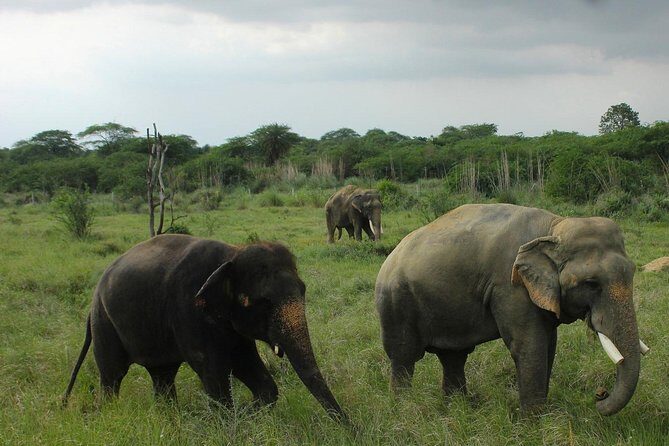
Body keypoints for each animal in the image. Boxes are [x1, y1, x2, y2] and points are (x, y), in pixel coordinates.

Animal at [63, 234, 346, 421]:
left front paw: (245, 413)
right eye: (261, 303)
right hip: (104, 323)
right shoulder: (188, 310)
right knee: (112, 375)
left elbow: (247, 365)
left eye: (303, 290)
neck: (231, 255)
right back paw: (111, 413)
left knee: (162, 374)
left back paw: (169, 418)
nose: (351, 430)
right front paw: (230, 420)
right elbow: (213, 370)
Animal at [375, 203, 647, 415]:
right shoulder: (510, 287)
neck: (553, 226)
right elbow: (529, 345)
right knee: (404, 357)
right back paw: (404, 410)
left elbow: (548, 345)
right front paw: (535, 424)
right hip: (396, 304)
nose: (599, 395)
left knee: (453, 357)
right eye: (591, 283)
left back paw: (458, 409)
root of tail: (389, 258)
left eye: (633, 272)